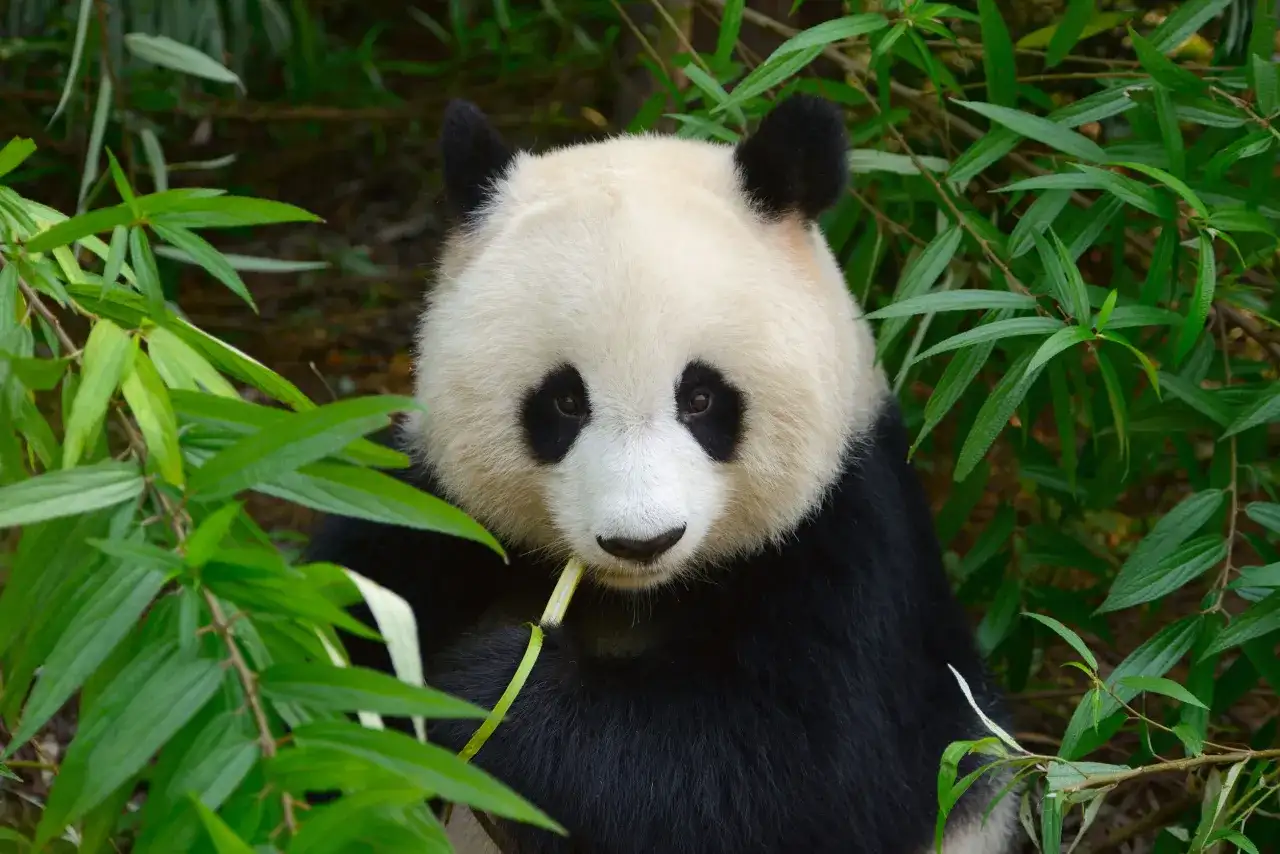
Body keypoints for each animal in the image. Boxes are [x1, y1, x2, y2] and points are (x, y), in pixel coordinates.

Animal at [305, 94, 1019, 854]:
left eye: (701, 398)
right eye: (564, 401)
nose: (641, 540)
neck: (635, 597)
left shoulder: (849, 544)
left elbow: (789, 770)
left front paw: (491, 687)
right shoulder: (430, 510)